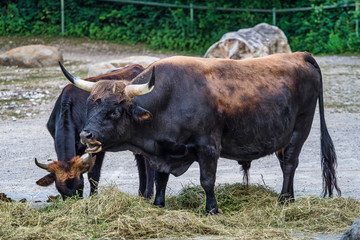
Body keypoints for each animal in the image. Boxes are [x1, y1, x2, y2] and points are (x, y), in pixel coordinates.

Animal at [35, 64, 155, 200]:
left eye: (80, 185)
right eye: (59, 188)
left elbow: (93, 174)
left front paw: (93, 197)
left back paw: (148, 196)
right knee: (141, 164)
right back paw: (141, 195)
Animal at [59, 52, 340, 214]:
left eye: (114, 111)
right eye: (91, 105)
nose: (86, 135)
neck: (169, 100)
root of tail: (299, 55)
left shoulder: (208, 147)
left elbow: (207, 181)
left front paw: (211, 210)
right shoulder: (162, 152)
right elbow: (160, 178)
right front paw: (159, 204)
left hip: (300, 128)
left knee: (290, 163)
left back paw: (283, 200)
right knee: (285, 164)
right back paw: (289, 198)